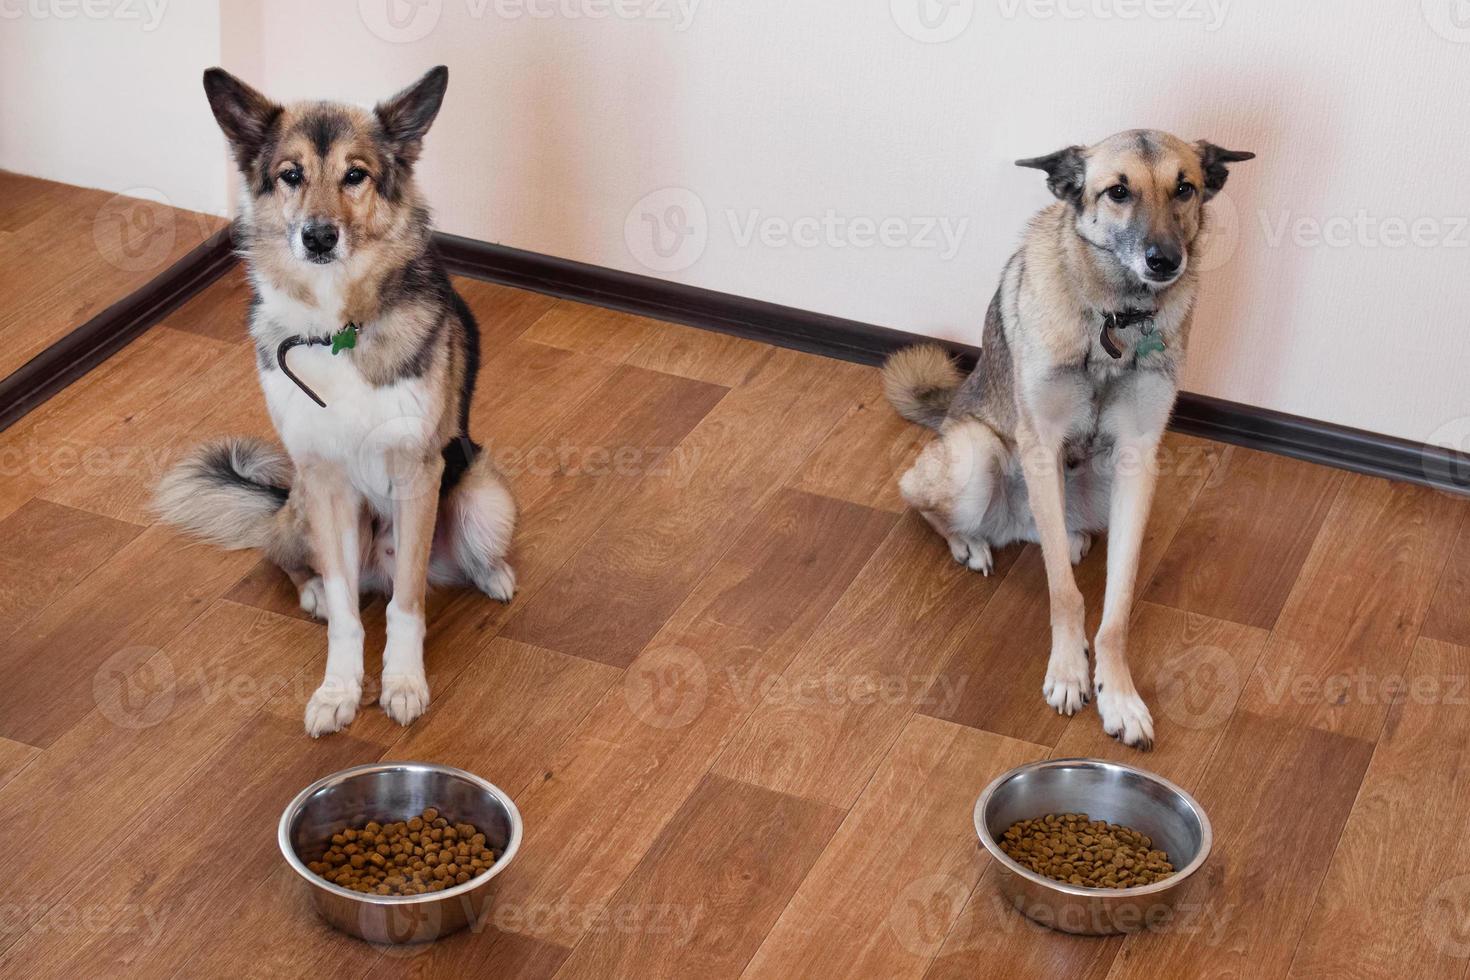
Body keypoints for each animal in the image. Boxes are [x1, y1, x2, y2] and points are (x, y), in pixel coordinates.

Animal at [156, 67, 517, 734]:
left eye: (356, 175)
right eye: (290, 174)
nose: (318, 237)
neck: (336, 328)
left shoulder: (417, 474)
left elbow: (405, 605)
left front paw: (402, 683)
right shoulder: (323, 480)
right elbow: (350, 619)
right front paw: (338, 689)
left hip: (483, 497)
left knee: (448, 559)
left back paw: (493, 574)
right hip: (300, 506)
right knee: (290, 558)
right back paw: (316, 591)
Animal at [882, 130, 1252, 752]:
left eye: (1185, 188)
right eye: (1118, 191)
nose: (1164, 260)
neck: (1115, 317)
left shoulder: (1136, 463)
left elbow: (1117, 605)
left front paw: (1118, 692)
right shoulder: (1041, 448)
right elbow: (1064, 592)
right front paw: (1068, 671)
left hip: (1100, 488)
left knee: (1049, 533)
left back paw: (1068, 538)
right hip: (976, 455)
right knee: (921, 499)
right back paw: (968, 543)